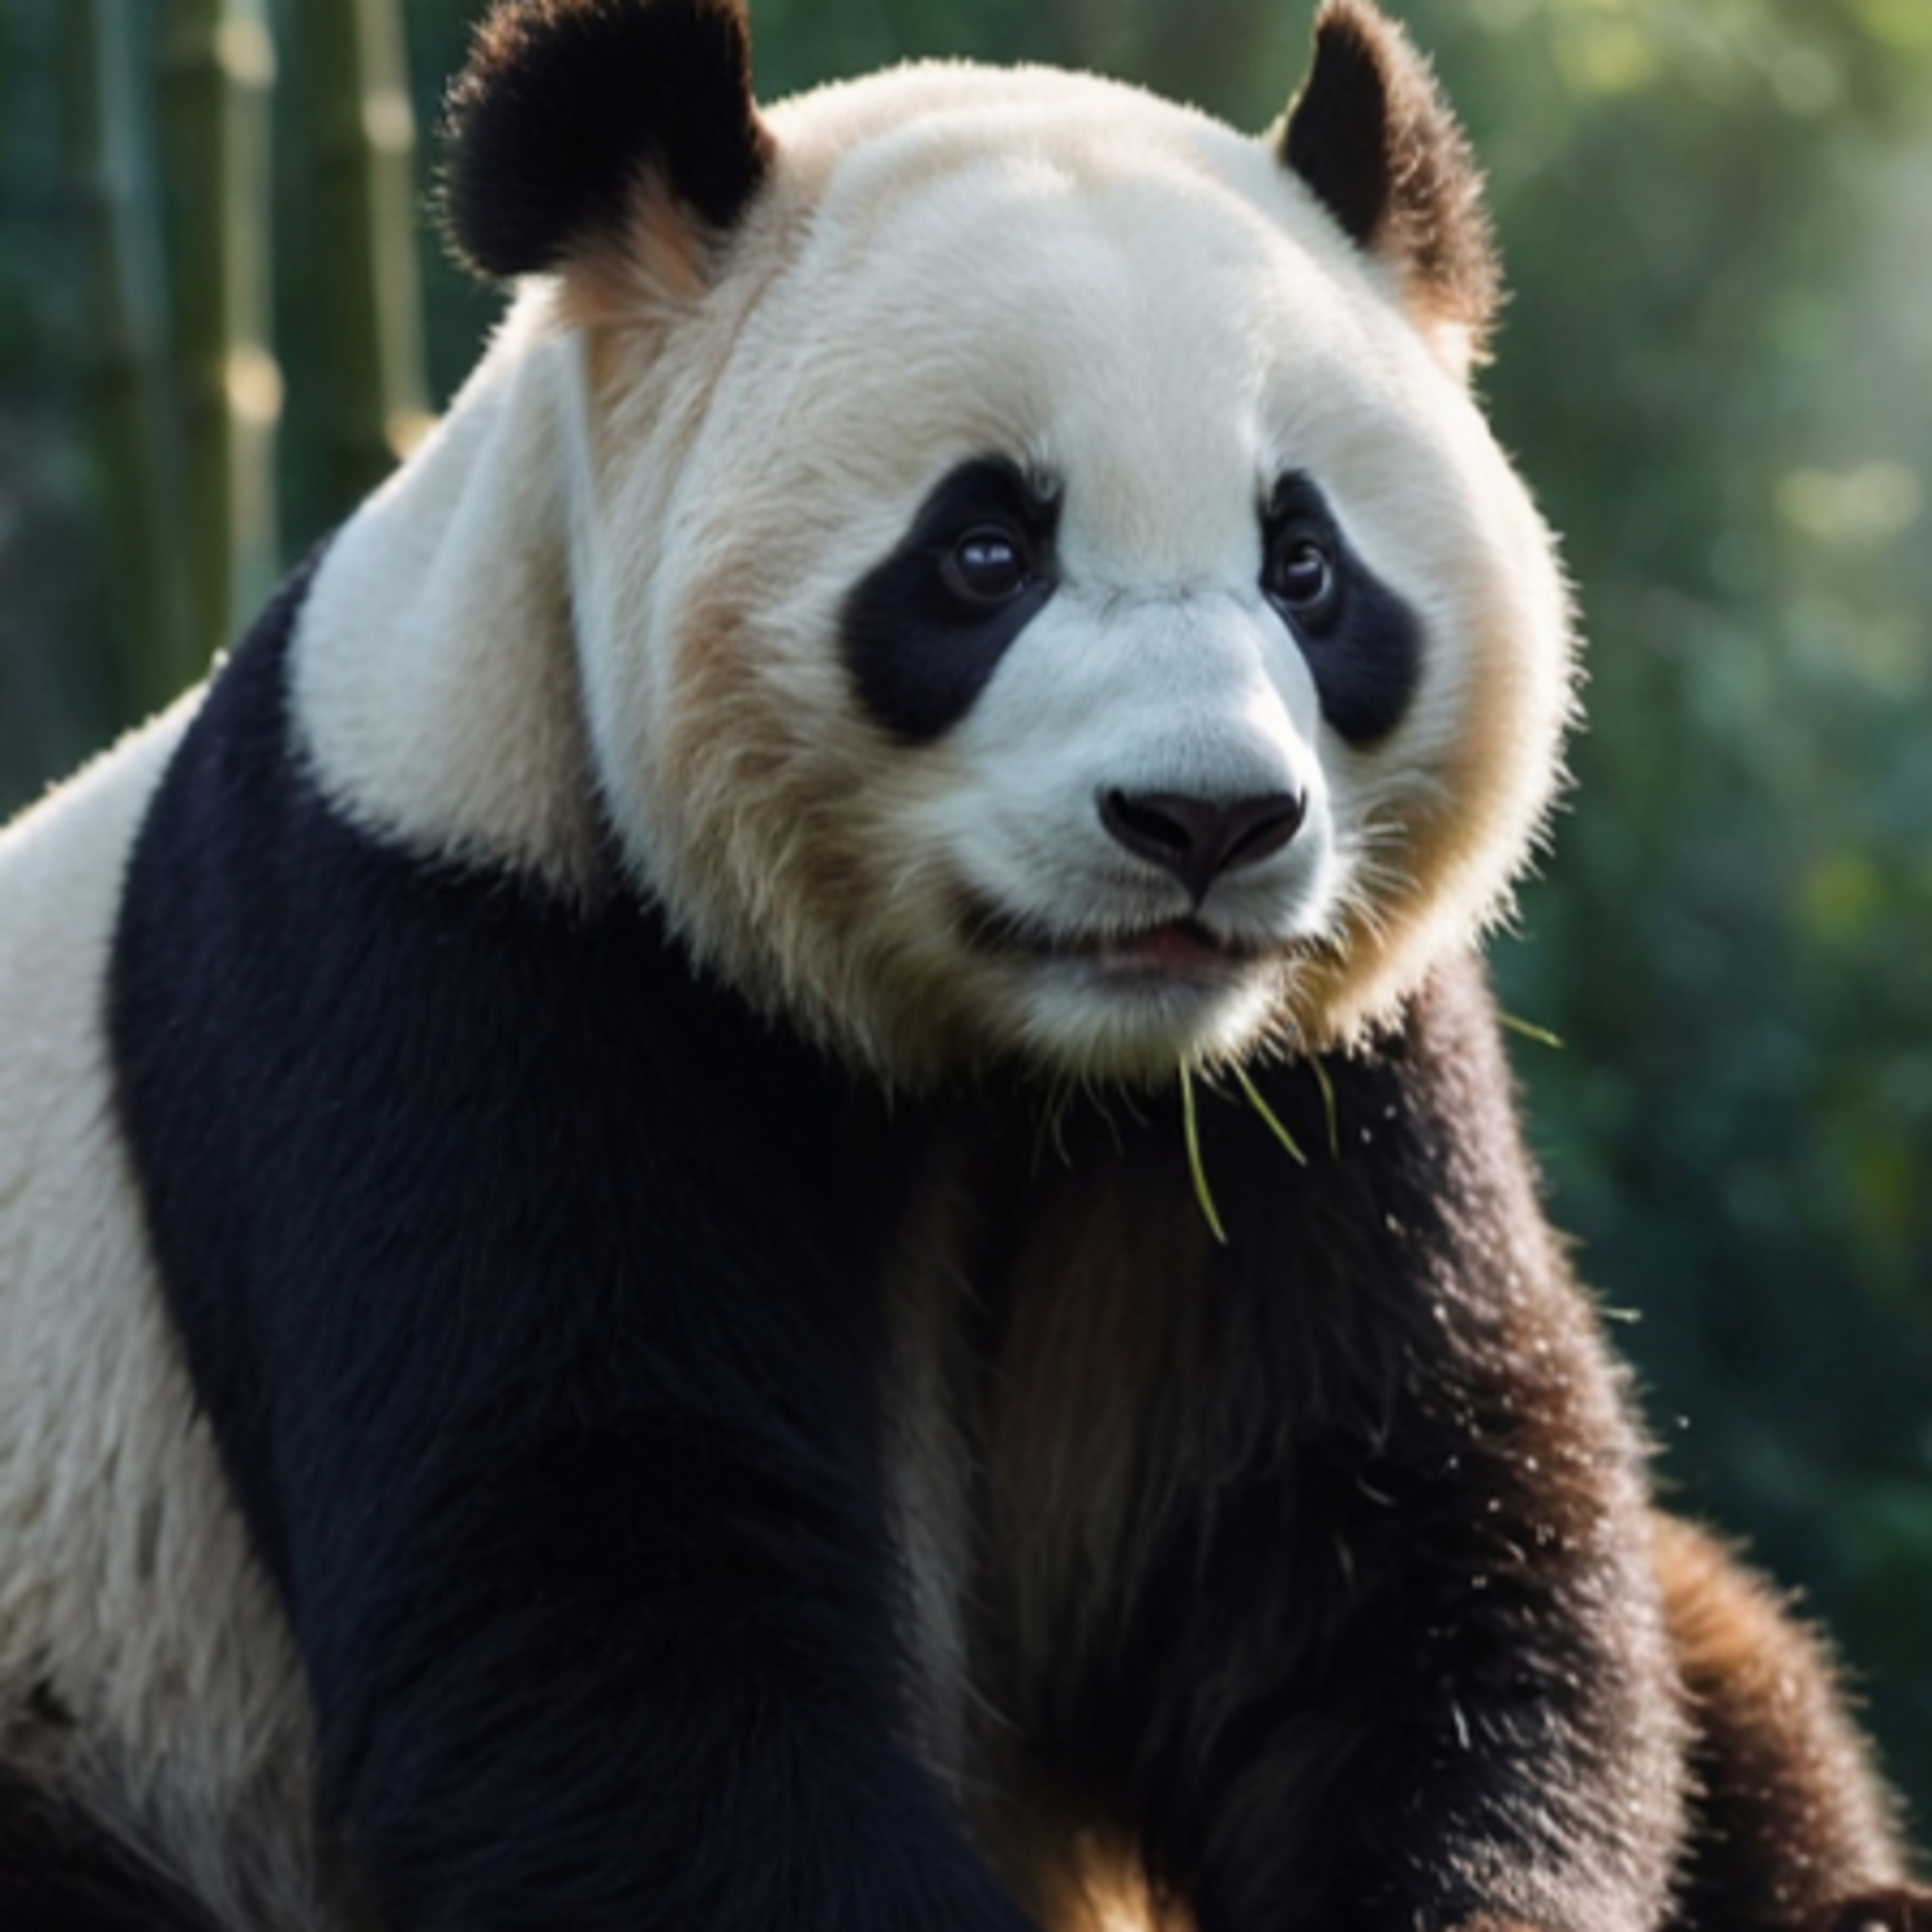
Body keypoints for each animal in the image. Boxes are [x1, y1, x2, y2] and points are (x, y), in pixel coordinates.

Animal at [0, 0, 1924, 1927]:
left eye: (1305, 565)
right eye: (985, 550)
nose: (1205, 819)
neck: (1016, 1062)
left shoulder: (1306, 1089)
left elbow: (1381, 1555)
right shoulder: (449, 956)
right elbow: (608, 1615)